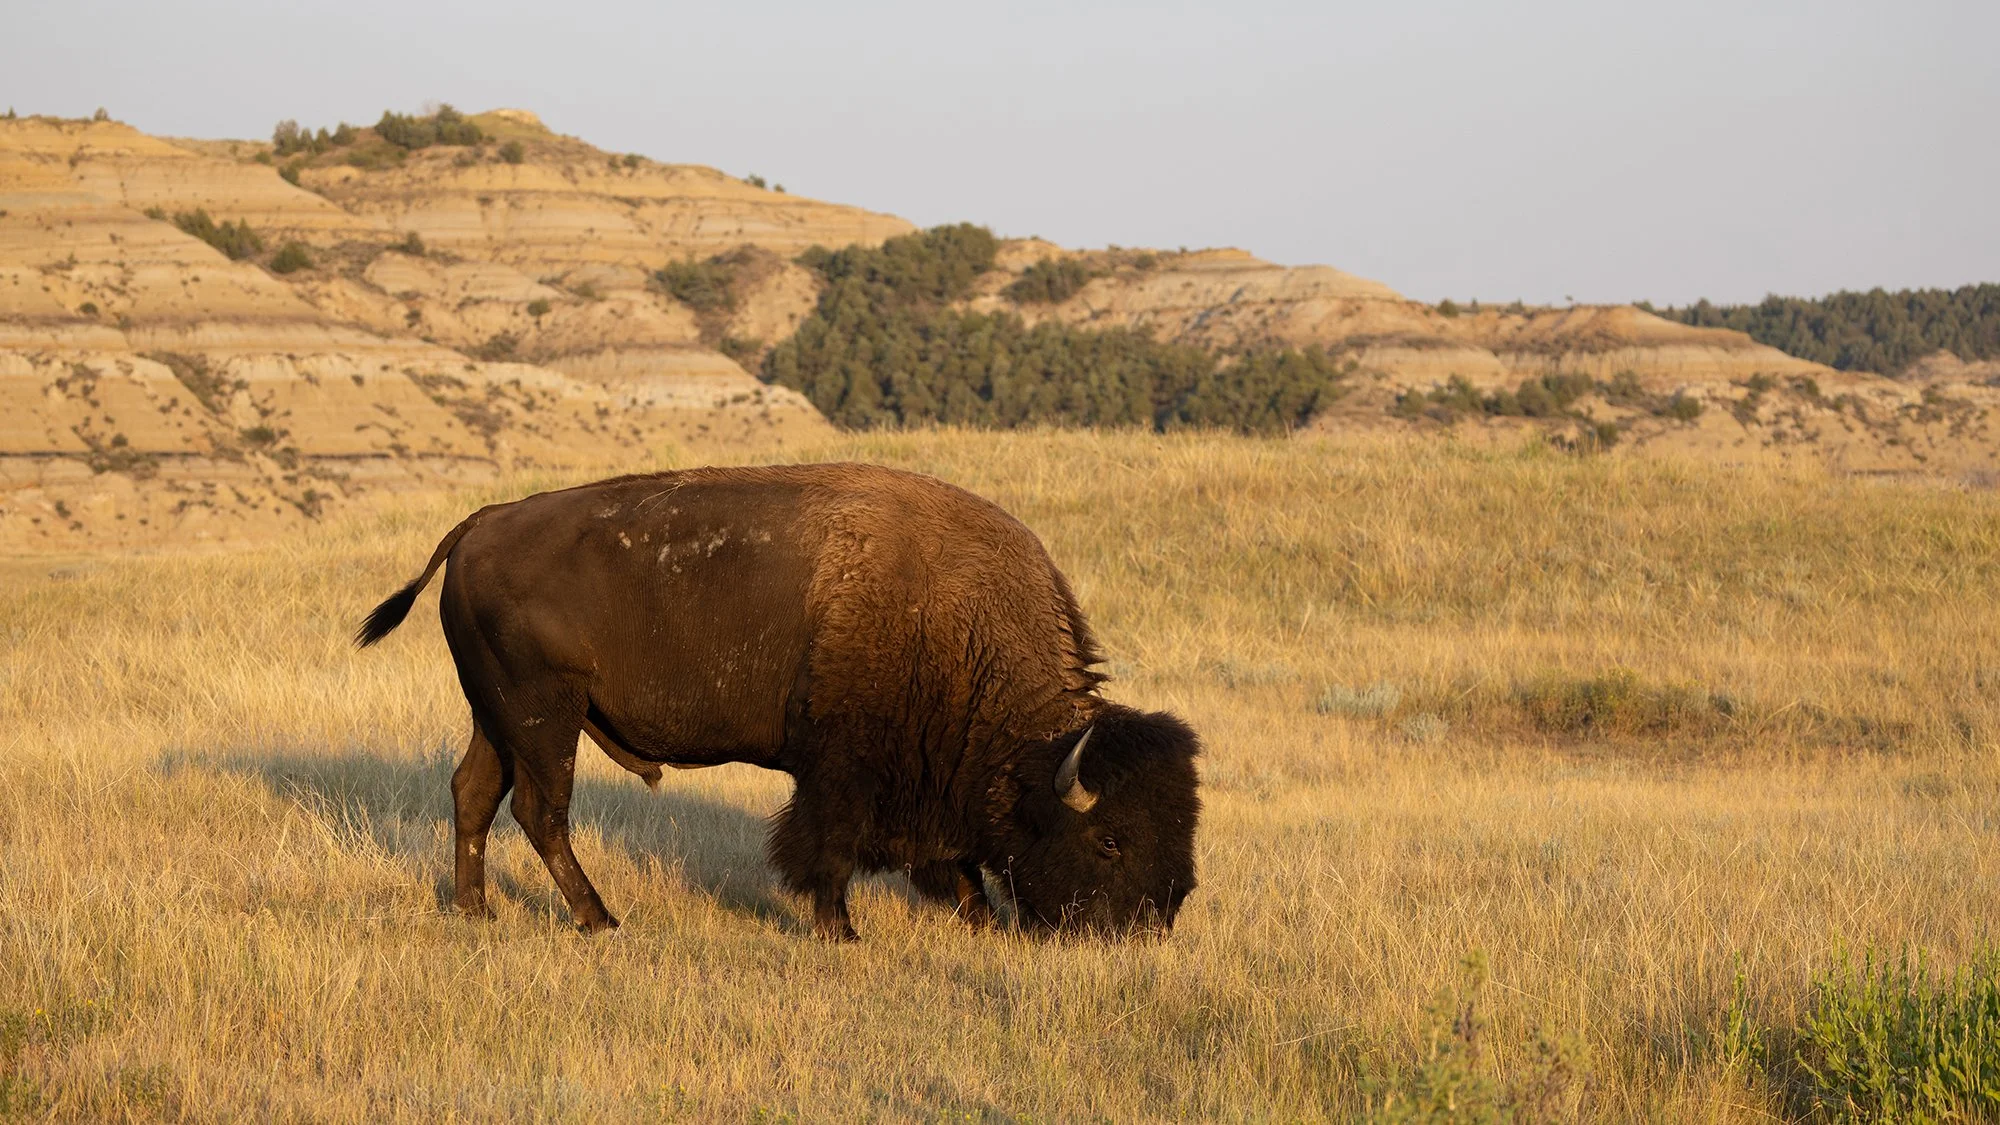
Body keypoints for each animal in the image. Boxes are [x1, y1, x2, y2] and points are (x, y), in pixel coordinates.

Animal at [356, 463, 1200, 940]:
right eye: (1110, 840)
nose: (1149, 926)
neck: (956, 619)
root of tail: (479, 524)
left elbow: (951, 855)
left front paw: (978, 917)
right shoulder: (841, 771)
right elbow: (828, 846)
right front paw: (840, 930)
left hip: (497, 716)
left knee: (473, 794)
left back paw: (477, 911)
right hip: (544, 715)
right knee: (540, 811)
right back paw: (600, 920)